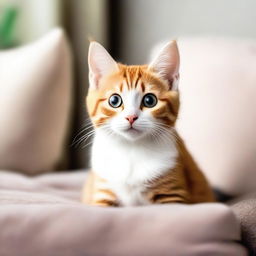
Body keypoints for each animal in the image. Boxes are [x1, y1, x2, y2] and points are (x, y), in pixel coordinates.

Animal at [81, 41, 214, 207]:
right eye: (114, 100)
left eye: (150, 100)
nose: (131, 117)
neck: (131, 150)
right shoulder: (102, 188)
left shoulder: (173, 194)